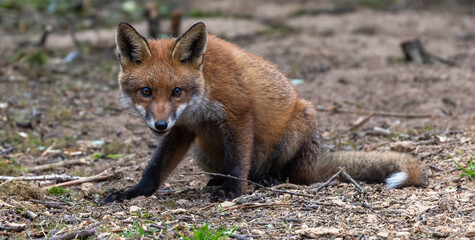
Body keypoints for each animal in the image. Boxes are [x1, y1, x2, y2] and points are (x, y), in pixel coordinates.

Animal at [102, 22, 430, 202]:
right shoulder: (183, 128)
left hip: (297, 125)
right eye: (146, 92)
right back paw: (217, 181)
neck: (203, 92)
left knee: (286, 173)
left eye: (176, 91)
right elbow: (155, 167)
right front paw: (135, 191)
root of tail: (315, 159)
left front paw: (232, 192)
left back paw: (266, 179)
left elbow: (237, 163)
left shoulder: (238, 114)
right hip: (201, 152)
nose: (159, 125)